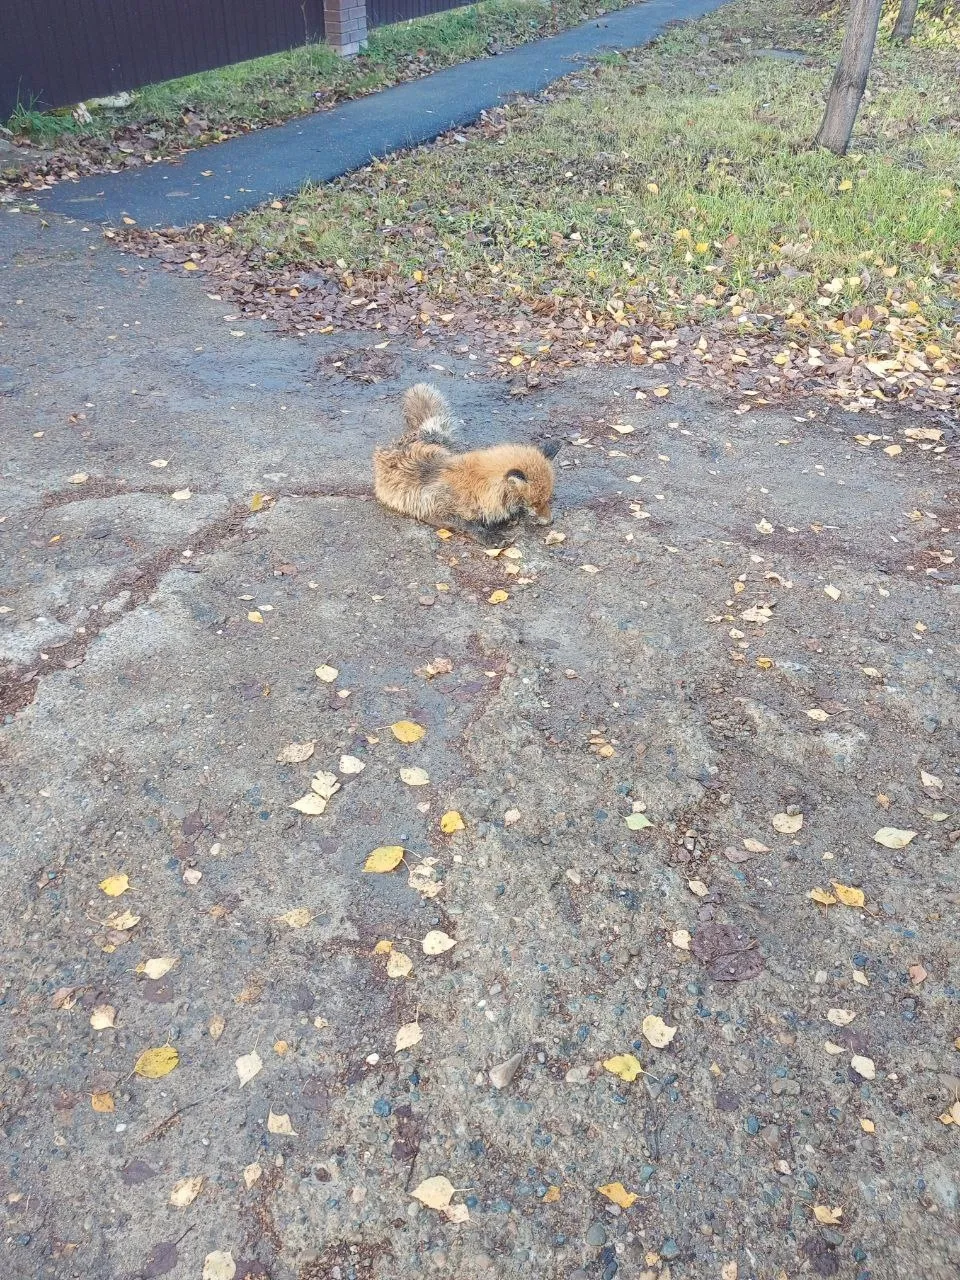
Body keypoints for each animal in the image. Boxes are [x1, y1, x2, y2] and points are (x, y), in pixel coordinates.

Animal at [371, 381, 560, 537]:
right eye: (535, 502)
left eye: (547, 499)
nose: (550, 521)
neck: (477, 485)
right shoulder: (436, 511)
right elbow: (468, 526)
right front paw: (491, 537)